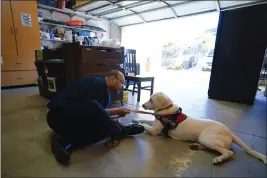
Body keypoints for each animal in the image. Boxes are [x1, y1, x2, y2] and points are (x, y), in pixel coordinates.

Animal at [133, 92, 266, 165]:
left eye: (151, 99)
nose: (143, 105)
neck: (167, 110)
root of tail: (230, 132)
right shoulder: (155, 124)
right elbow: (145, 120)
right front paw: (135, 120)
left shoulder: (155, 130)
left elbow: (145, 126)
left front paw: (135, 125)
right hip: (204, 140)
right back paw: (196, 146)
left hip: (206, 138)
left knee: (228, 152)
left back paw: (218, 159)